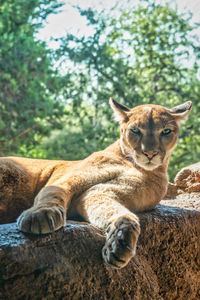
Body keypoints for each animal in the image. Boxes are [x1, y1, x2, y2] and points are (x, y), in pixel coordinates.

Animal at [0, 99, 191, 268]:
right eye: (135, 130)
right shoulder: (73, 177)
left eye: (166, 131)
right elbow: (54, 191)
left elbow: (118, 213)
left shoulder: (99, 192)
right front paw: (41, 213)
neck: (129, 162)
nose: (150, 153)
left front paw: (119, 242)